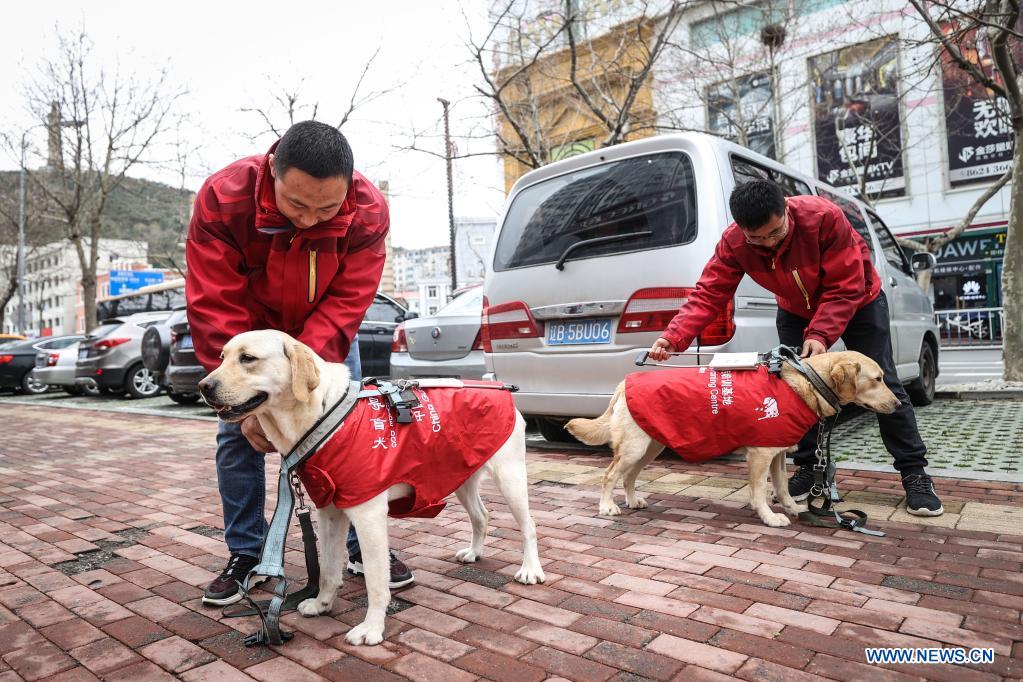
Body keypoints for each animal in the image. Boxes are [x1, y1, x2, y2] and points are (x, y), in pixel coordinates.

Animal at [193, 331, 544, 646]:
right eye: (221, 357)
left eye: (248, 358)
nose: (203, 386)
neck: (323, 414)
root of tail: (500, 387)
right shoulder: (330, 512)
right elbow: (328, 568)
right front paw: (322, 604)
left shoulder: (368, 514)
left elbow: (376, 581)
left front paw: (372, 629)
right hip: (460, 476)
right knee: (482, 517)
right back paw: (474, 552)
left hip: (510, 477)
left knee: (529, 525)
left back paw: (530, 570)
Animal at [568, 351, 896, 527]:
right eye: (878, 379)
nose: (899, 403)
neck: (807, 381)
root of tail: (625, 383)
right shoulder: (761, 454)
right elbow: (760, 492)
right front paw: (769, 517)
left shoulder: (778, 454)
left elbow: (782, 488)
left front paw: (793, 509)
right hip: (634, 447)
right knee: (610, 475)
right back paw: (607, 507)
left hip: (651, 446)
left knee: (629, 476)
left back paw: (633, 501)